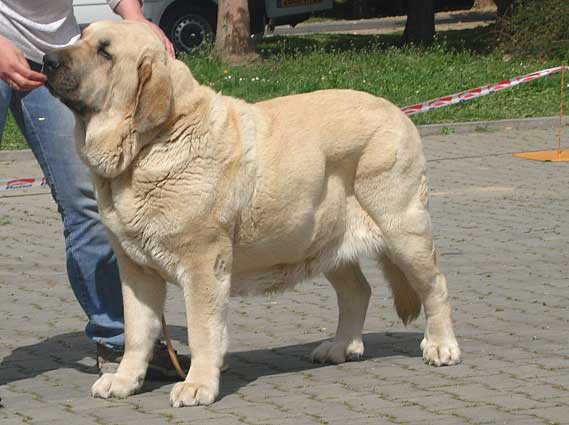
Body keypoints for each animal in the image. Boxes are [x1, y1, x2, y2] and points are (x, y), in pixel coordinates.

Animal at [45, 21, 462, 406]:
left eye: (105, 52)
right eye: (80, 37)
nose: (47, 59)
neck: (150, 146)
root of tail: (398, 112)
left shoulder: (203, 266)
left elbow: (202, 331)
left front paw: (197, 385)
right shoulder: (136, 271)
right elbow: (136, 332)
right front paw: (124, 380)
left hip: (402, 228)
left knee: (435, 285)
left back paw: (441, 346)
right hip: (322, 237)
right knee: (357, 291)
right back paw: (340, 346)